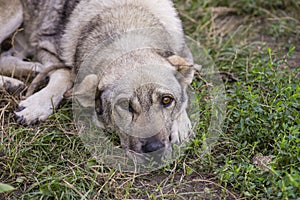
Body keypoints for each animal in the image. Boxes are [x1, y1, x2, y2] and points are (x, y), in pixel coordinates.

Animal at [0, 0, 195, 156]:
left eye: (166, 100)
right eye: (125, 105)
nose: (154, 150)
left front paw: (181, 125)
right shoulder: (45, 46)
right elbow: (65, 74)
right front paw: (37, 105)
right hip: (14, 14)